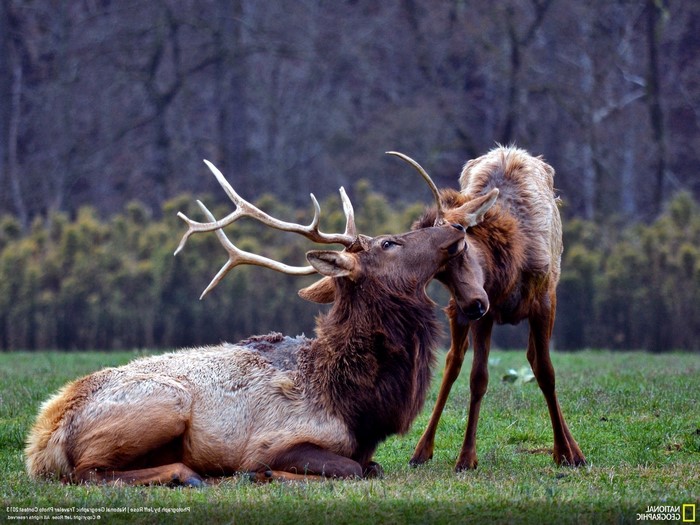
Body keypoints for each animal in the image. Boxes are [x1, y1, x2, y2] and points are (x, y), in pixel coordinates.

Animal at [24, 158, 470, 486]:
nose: (454, 227)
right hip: (167, 402)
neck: (358, 406)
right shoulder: (274, 439)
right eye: (389, 243)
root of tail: (40, 443)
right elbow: (353, 469)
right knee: (88, 472)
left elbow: (372, 466)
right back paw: (188, 475)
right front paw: (264, 473)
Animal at [301, 146, 586, 472]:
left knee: (532, 359)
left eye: (461, 241)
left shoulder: (543, 300)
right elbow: (477, 378)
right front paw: (466, 457)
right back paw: (422, 449)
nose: (474, 304)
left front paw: (565, 452)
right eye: (439, 274)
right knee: (454, 362)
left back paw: (573, 449)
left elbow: (547, 372)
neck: (510, 264)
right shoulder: (479, 315)